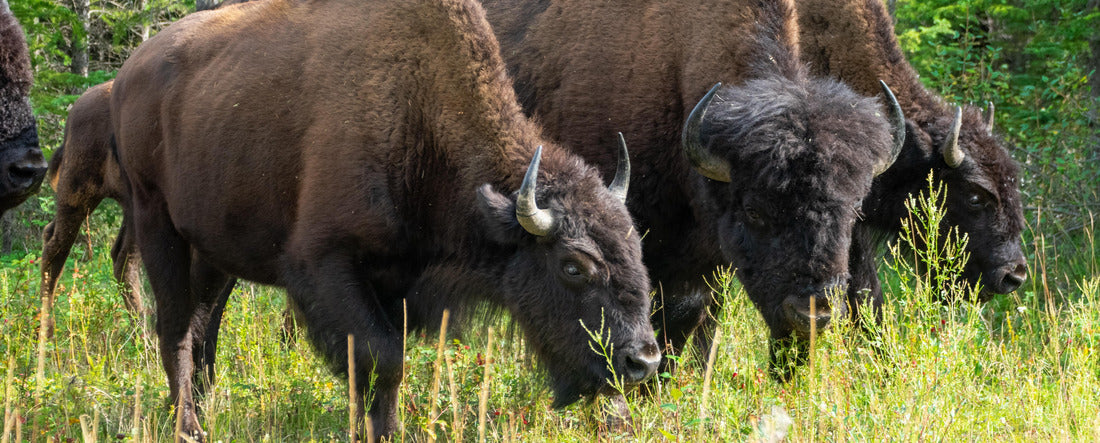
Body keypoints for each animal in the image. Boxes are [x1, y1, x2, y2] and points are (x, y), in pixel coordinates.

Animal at [110, 0, 659, 439]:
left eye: (637, 249)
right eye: (573, 266)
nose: (643, 361)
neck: (419, 109)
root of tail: (128, 73)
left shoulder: (397, 282)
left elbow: (379, 369)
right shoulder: (324, 265)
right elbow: (383, 360)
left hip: (214, 250)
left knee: (204, 327)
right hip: (156, 223)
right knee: (175, 329)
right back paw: (188, 426)